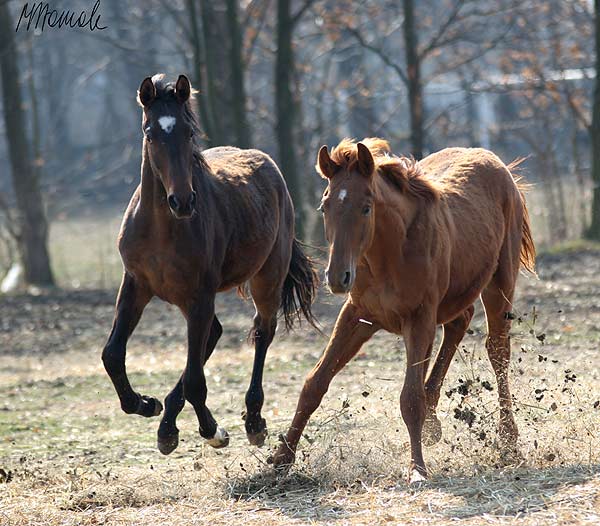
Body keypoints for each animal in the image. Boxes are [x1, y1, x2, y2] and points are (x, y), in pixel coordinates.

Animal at [102, 75, 318, 458]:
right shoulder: (136, 285)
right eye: (149, 133)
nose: (183, 201)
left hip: (266, 277)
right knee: (214, 334)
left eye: (188, 132)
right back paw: (166, 425)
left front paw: (213, 430)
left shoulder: (200, 294)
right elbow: (113, 354)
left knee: (262, 332)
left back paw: (253, 422)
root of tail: (267, 163)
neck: (161, 227)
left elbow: (194, 379)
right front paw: (145, 404)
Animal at [272, 138, 536, 484]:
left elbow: (410, 398)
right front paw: (280, 460)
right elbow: (314, 383)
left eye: (366, 207)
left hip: (499, 282)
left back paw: (508, 442)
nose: (338, 277)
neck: (389, 254)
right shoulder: (357, 315)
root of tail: (495, 162)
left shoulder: (419, 317)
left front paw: (417, 470)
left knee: (498, 350)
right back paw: (434, 425)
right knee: (458, 325)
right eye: (324, 206)